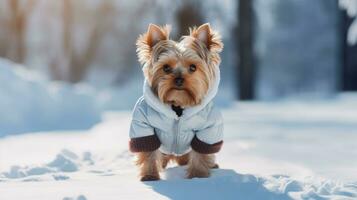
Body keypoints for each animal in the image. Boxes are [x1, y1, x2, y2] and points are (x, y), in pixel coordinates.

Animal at [129, 23, 222, 181]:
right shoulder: (143, 125)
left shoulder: (208, 128)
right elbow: (149, 151)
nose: (178, 79)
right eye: (166, 67)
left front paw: (198, 176)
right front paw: (150, 175)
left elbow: (201, 151)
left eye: (193, 67)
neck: (178, 104)